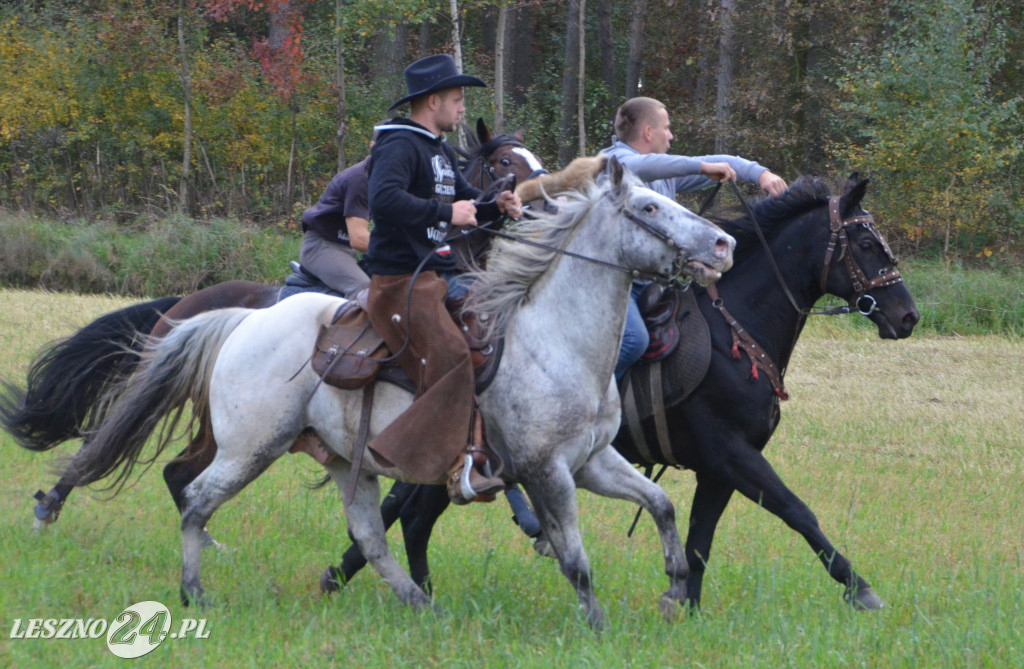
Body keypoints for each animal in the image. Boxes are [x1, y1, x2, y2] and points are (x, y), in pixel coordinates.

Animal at [2, 116, 544, 532]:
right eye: (504, 162)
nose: (540, 201)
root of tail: (183, 305)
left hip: (212, 411)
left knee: (177, 470)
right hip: (169, 390)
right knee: (106, 436)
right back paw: (50, 507)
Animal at [313, 171, 921, 606]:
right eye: (867, 243)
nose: (907, 315)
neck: (736, 329)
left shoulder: (718, 468)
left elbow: (699, 541)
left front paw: (683, 605)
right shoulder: (732, 455)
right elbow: (798, 512)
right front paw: (860, 588)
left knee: (410, 513)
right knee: (407, 511)